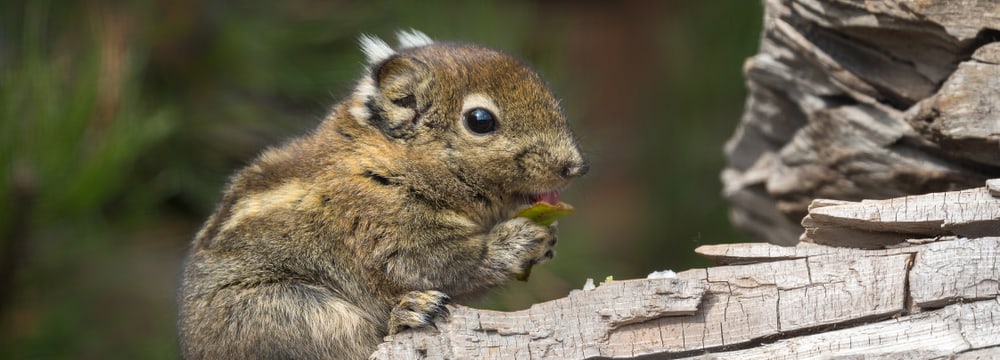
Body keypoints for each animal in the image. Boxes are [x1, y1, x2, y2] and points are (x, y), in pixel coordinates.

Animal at [178, 31, 584, 360]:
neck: (390, 159)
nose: (575, 167)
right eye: (480, 120)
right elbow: (448, 264)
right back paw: (411, 312)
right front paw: (524, 238)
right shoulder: (390, 231)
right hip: (296, 316)